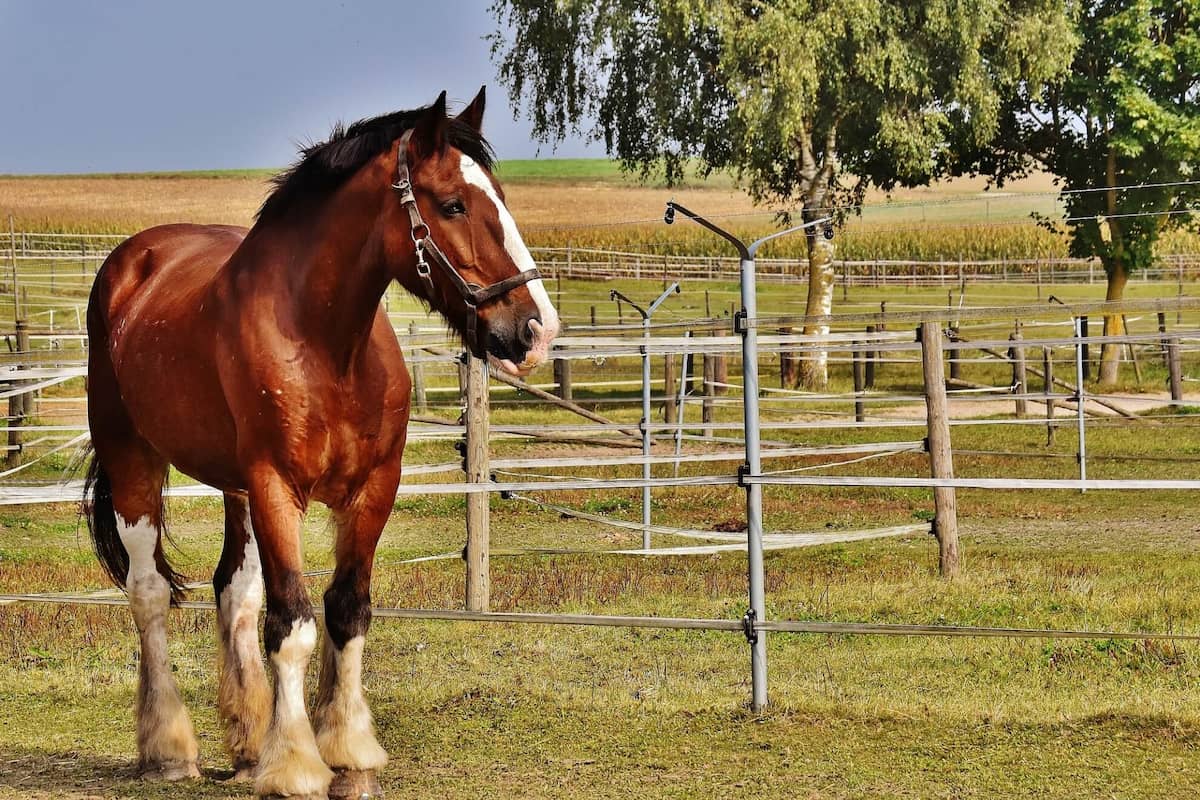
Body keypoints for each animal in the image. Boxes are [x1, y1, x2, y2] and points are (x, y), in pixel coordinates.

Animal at [82, 89, 559, 800]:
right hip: (134, 460)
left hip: (235, 490)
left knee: (234, 592)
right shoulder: (278, 488)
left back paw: (246, 741)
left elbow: (346, 611)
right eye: (453, 204)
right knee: (149, 595)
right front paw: (296, 763)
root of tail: (132, 261)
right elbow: (294, 624)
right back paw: (169, 747)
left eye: (500, 195)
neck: (326, 346)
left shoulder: (371, 489)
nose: (535, 330)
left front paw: (347, 748)